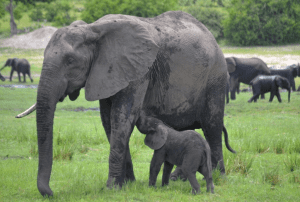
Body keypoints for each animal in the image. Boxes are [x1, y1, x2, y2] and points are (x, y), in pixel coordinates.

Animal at [16, 10, 233, 196]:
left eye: (70, 61)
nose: (51, 192)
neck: (93, 29)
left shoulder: (138, 72)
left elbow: (121, 118)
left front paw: (111, 188)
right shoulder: (106, 73)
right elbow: (108, 122)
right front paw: (127, 184)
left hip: (216, 78)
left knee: (212, 127)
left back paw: (218, 177)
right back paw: (181, 178)